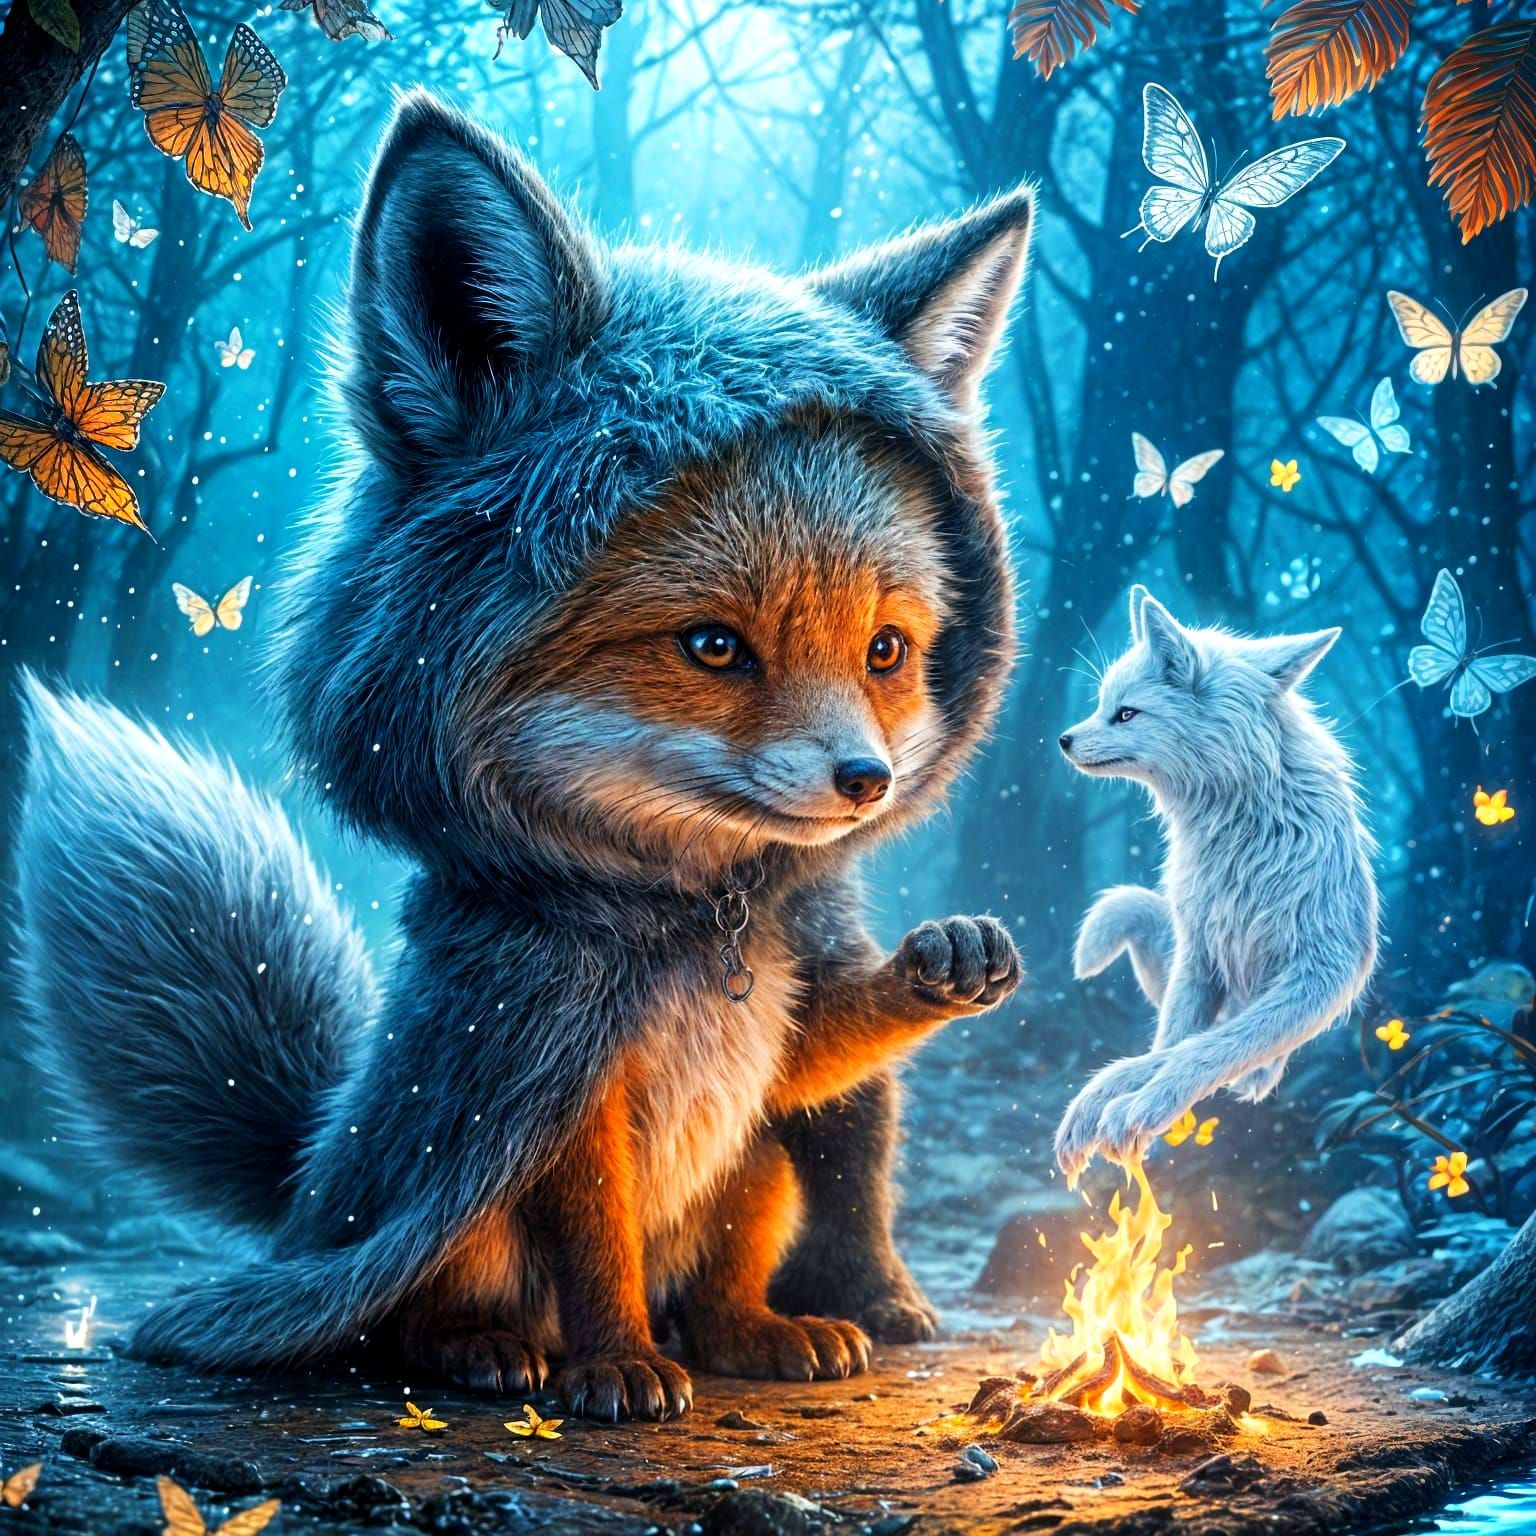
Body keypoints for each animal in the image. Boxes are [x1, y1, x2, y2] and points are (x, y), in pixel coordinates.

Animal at [14, 91, 1033, 1422]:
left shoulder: (773, 1039)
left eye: (886, 651)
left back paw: (758, 1330)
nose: (868, 783)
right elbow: (593, 1247)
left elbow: (815, 1060)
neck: (683, 926)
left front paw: (943, 965)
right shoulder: (546, 1074)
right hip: (465, 1206)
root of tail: (315, 1185)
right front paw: (616, 1366)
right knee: (427, 1302)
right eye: (714, 646)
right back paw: (492, 1349)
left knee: (730, 1258)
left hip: (753, 1167)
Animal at [1053, 585, 1378, 1183]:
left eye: (1125, 713)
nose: (1063, 740)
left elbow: (1208, 1048)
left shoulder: (1326, 971)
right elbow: (1165, 1045)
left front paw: (1136, 1110)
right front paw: (1099, 1104)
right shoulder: (1199, 950)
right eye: (1102, 704)